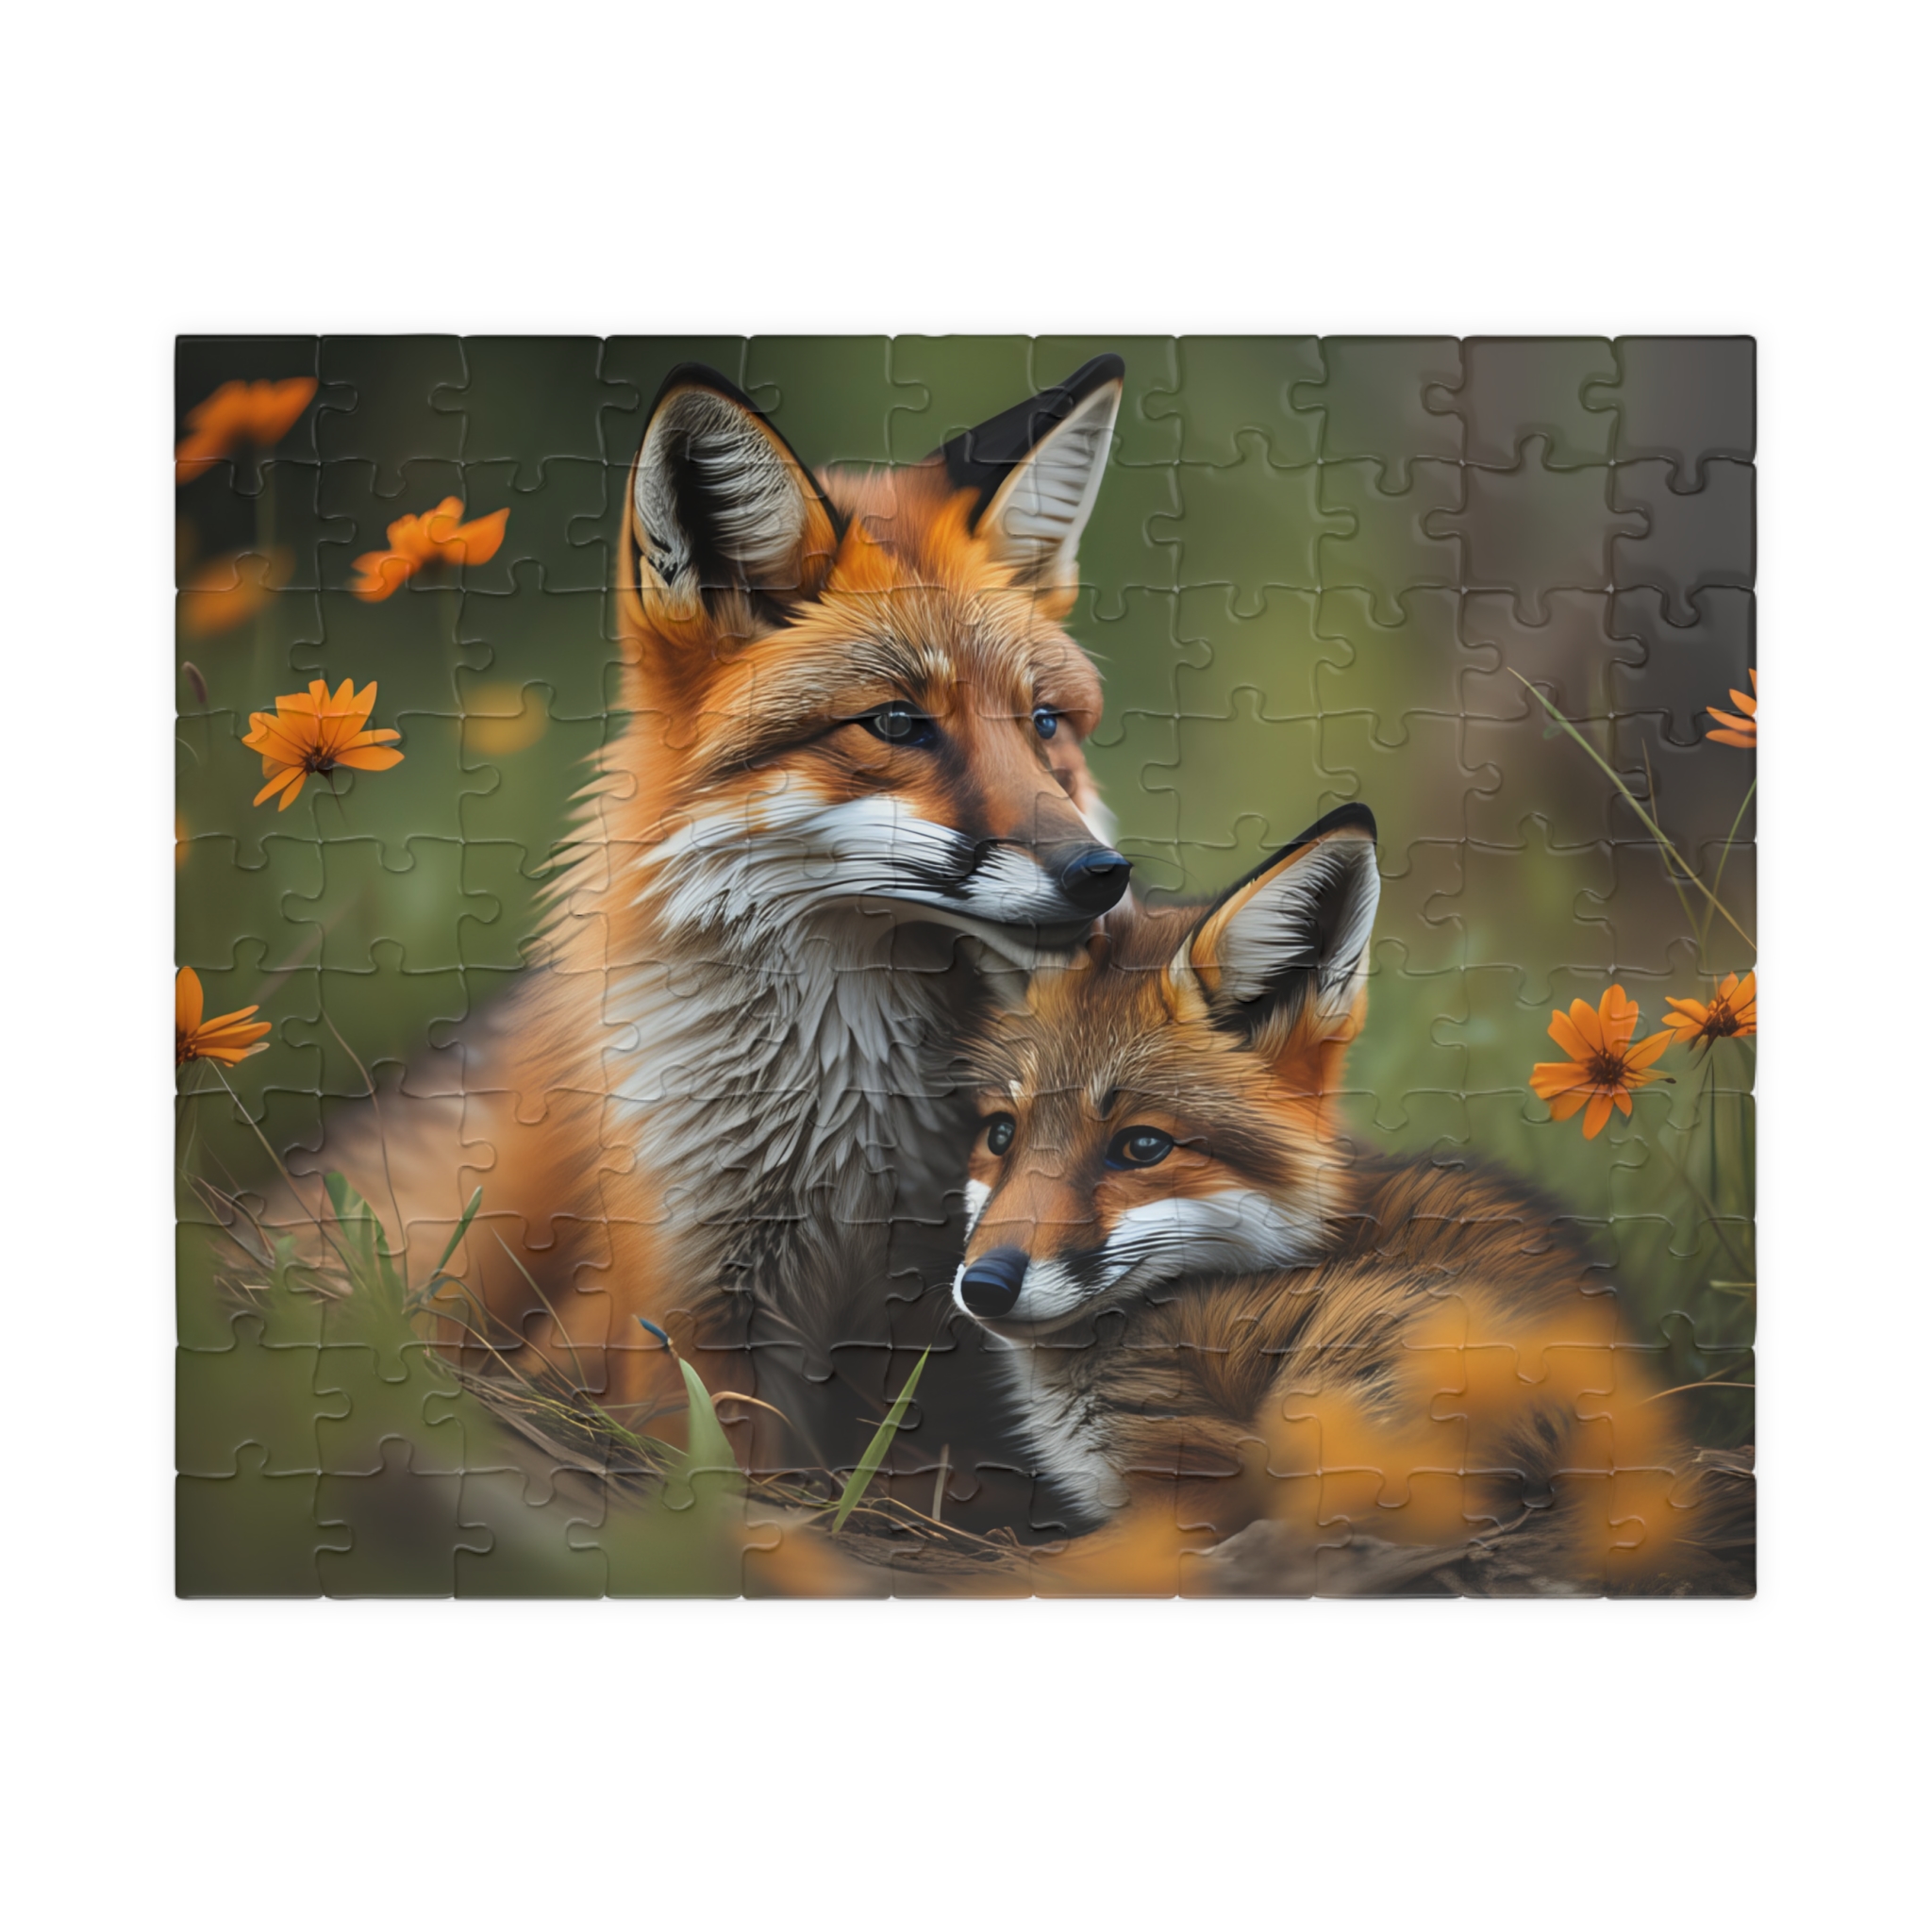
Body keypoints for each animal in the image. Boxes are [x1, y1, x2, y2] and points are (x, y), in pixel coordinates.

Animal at [320, 356, 1135, 1485]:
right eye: (896, 724)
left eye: (1045, 723)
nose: (1101, 875)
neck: (853, 1136)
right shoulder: (693, 1309)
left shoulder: (957, 1308)